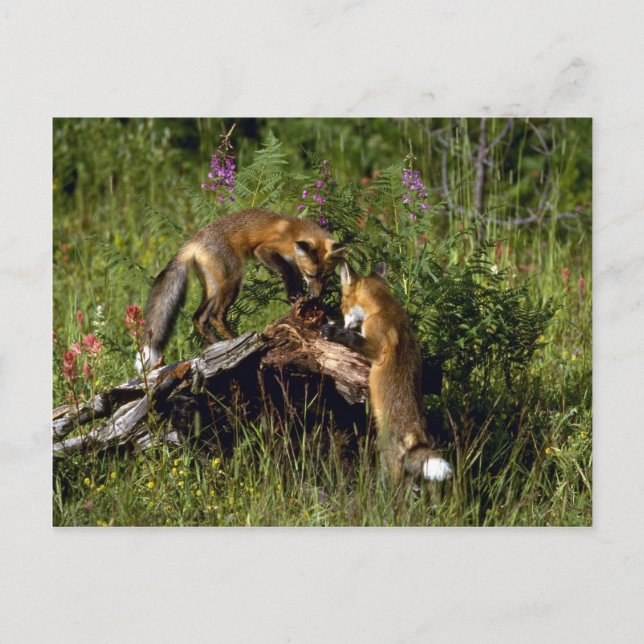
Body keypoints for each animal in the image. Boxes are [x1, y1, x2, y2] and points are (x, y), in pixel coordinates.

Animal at [136, 208, 347, 372]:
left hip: (214, 288)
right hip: (233, 281)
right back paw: (236, 343)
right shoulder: (264, 250)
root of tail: (194, 241)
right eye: (311, 275)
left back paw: (217, 344)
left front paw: (297, 296)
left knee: (199, 318)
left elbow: (292, 279)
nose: (316, 295)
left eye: (326, 277)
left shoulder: (295, 267)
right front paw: (295, 295)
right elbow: (286, 271)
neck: (295, 234)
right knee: (215, 316)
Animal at [322, 261, 452, 483]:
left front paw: (334, 332)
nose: (342, 320)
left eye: (342, 305)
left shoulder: (376, 347)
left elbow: (353, 338)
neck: (383, 307)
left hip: (386, 459)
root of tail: (415, 433)